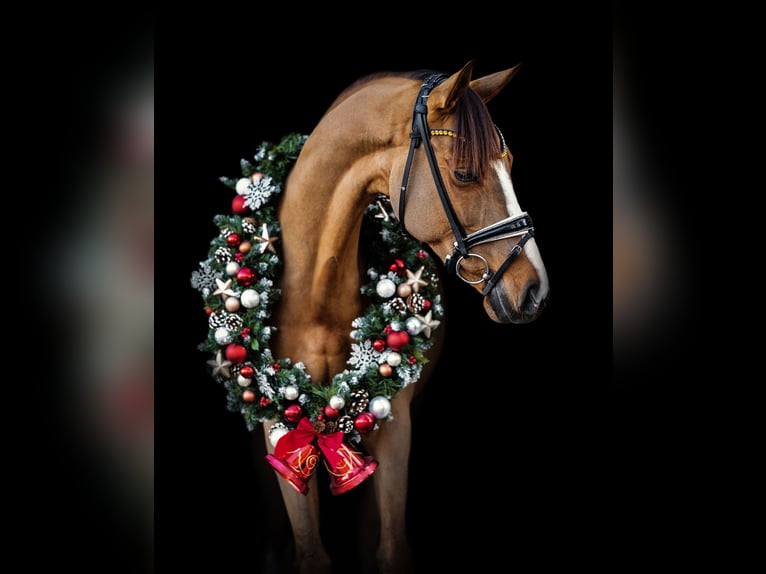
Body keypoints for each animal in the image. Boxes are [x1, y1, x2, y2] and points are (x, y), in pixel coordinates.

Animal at [262, 60, 549, 573]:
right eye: (464, 174)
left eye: (511, 164)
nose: (535, 289)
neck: (315, 294)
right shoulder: (278, 433)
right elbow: (311, 553)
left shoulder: (395, 429)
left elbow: (391, 549)